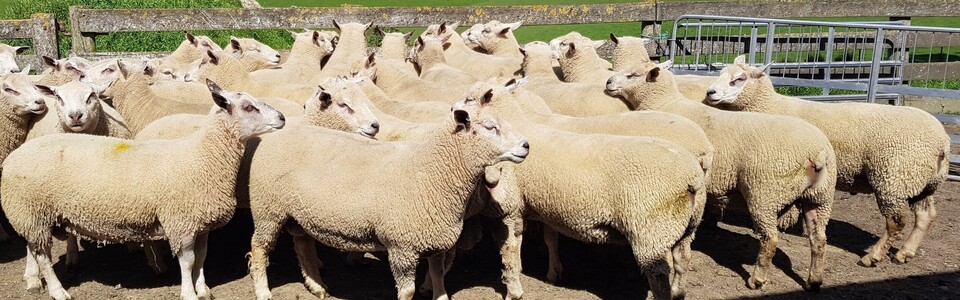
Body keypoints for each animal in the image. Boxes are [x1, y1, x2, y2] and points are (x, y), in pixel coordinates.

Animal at [242, 99, 524, 300]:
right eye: (490, 127)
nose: (526, 146)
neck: (433, 170)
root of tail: (275, 134)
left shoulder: (435, 241)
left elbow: (439, 279)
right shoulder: (402, 247)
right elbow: (407, 292)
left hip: (297, 212)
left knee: (302, 245)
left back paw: (317, 286)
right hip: (268, 209)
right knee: (259, 247)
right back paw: (263, 291)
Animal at [608, 59, 840, 292]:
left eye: (633, 75)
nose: (608, 82)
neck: (665, 102)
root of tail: (818, 152)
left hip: (764, 193)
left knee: (770, 238)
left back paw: (757, 280)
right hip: (820, 197)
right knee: (818, 237)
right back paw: (814, 280)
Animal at [704, 56, 952, 268]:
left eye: (739, 79)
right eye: (721, 73)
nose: (710, 92)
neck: (768, 105)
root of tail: (943, 142)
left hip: (894, 178)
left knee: (896, 221)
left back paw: (873, 256)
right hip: (921, 182)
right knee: (925, 216)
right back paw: (905, 253)